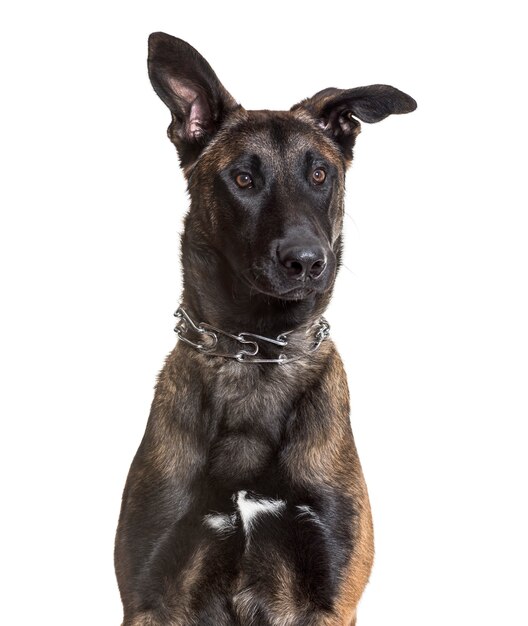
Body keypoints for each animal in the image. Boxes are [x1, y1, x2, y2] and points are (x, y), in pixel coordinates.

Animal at [115, 31, 416, 620]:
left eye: (320, 174)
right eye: (243, 178)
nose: (307, 261)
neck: (256, 352)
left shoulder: (329, 598)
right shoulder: (149, 598)